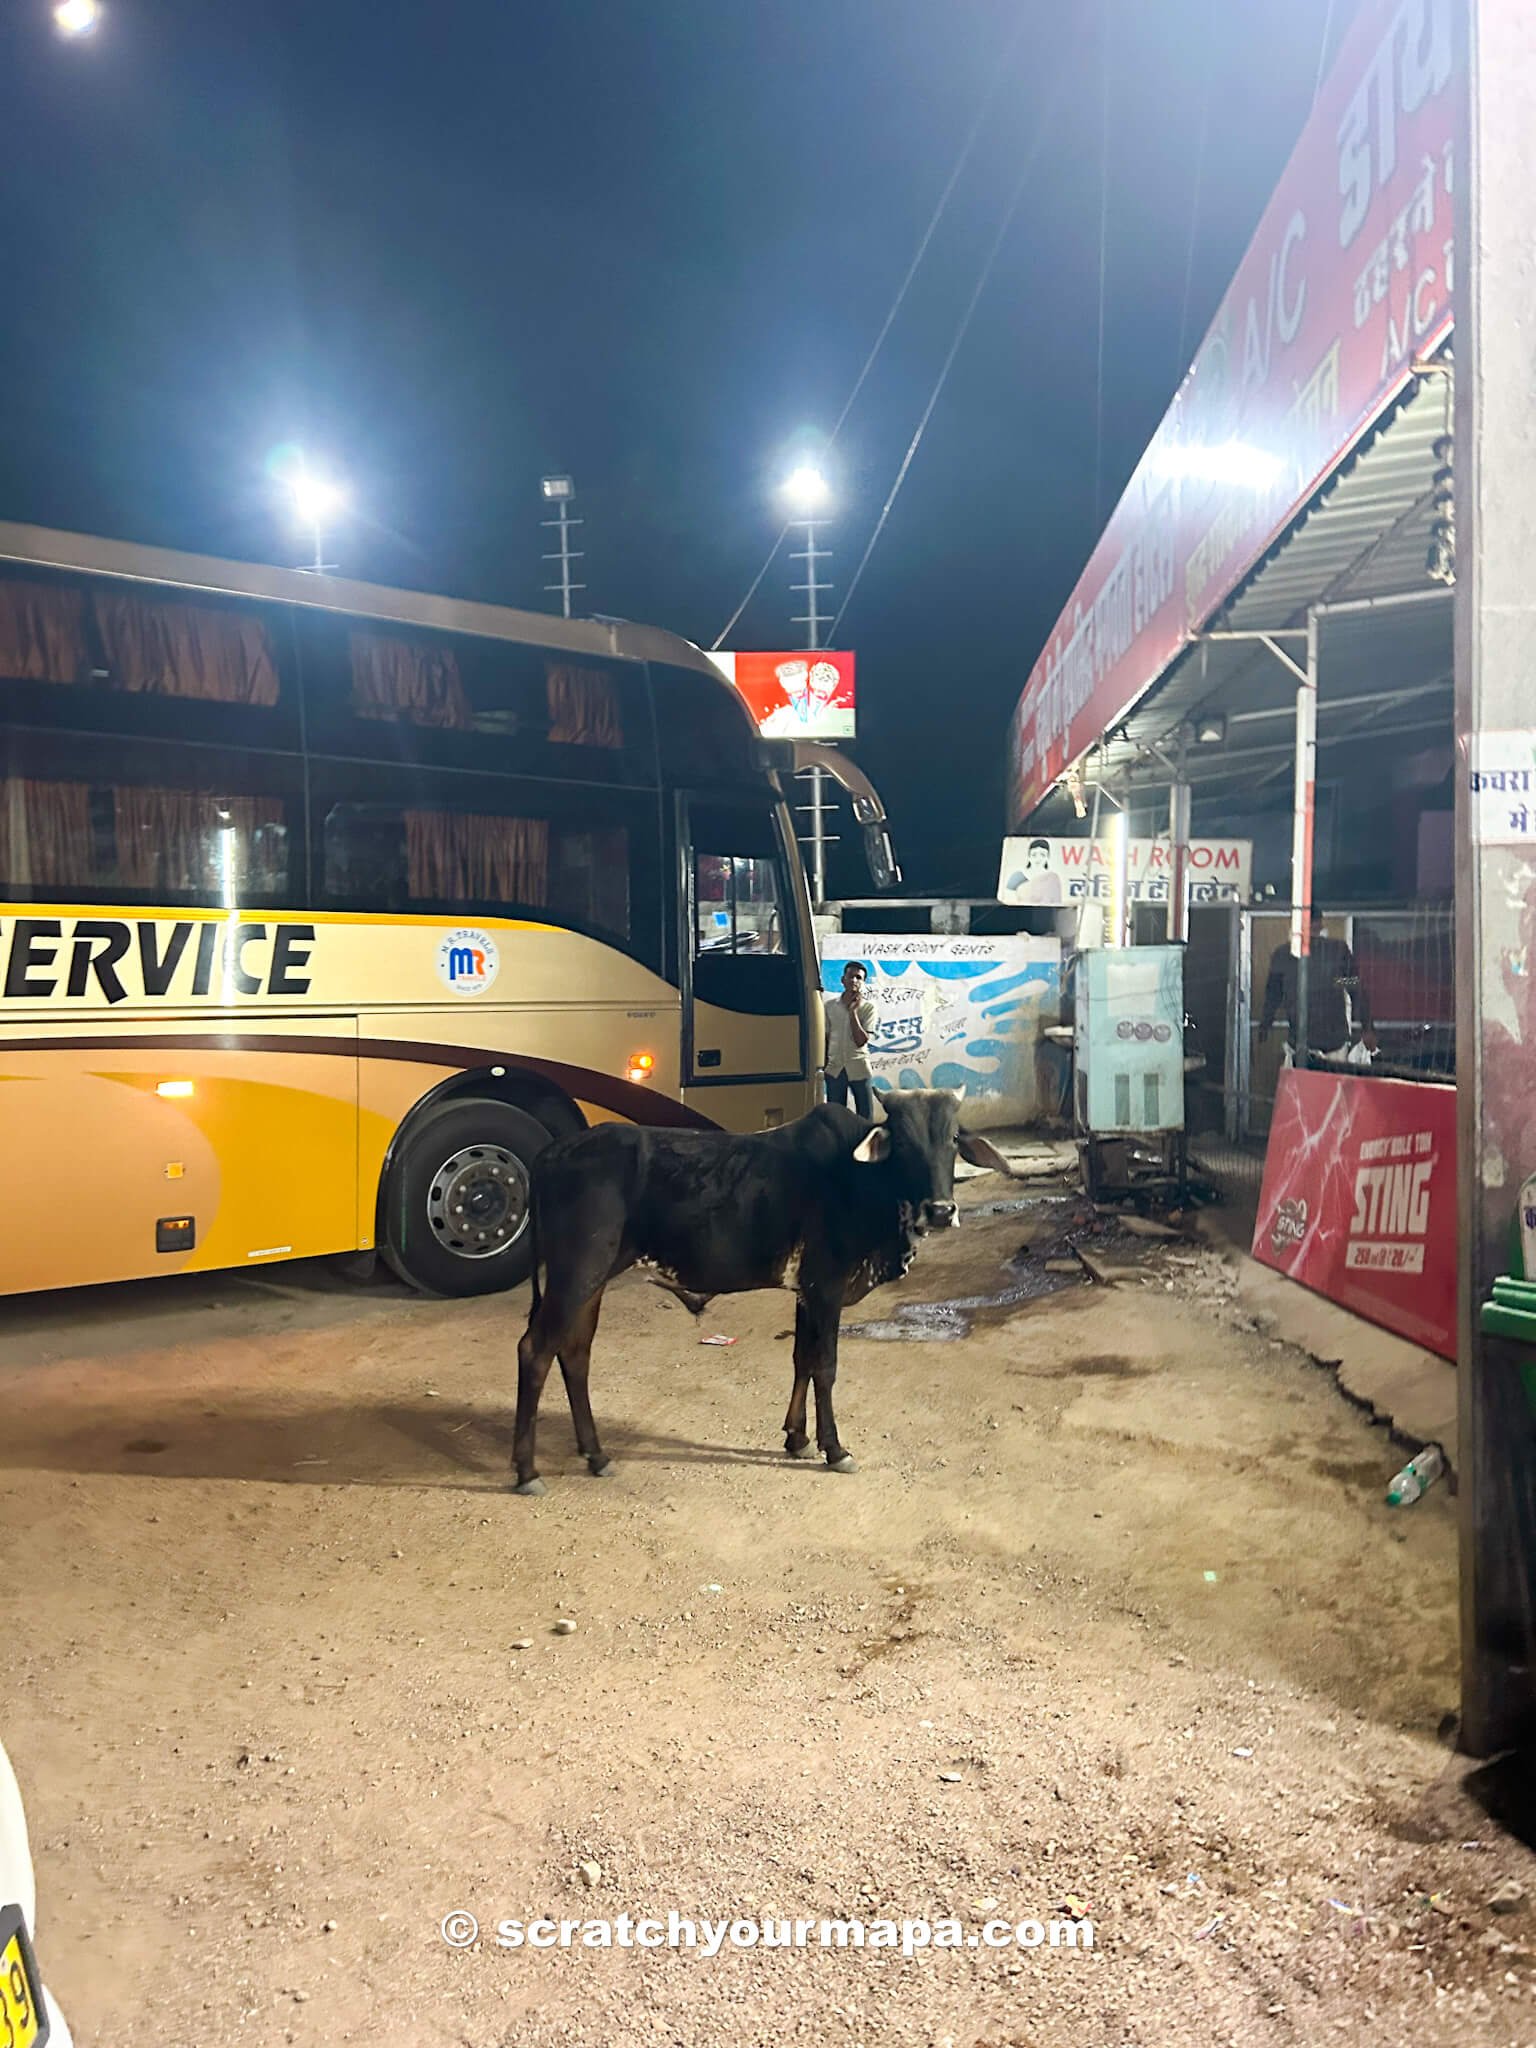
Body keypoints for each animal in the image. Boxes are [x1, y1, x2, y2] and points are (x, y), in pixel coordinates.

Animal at [512, 1089, 1011, 1507]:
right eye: (903, 1143)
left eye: (952, 1138)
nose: (941, 1210)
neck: (858, 1180)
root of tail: (550, 1154)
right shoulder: (827, 1288)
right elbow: (825, 1367)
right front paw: (835, 1448)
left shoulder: (807, 1293)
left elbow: (802, 1359)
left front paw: (797, 1437)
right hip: (576, 1275)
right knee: (535, 1350)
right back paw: (526, 1471)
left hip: (592, 1282)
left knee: (575, 1353)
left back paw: (596, 1454)